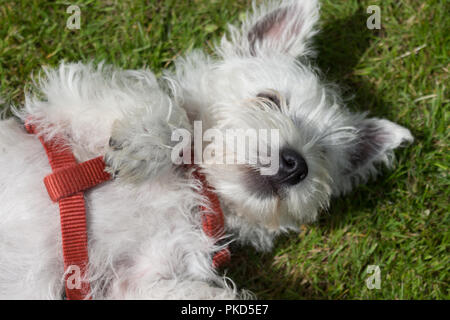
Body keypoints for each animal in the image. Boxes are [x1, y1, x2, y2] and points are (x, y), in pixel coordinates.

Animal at [0, 0, 412, 300]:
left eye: (324, 154)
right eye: (269, 99)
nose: (297, 165)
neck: (200, 187)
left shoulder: (138, 280)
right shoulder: (61, 106)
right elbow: (174, 113)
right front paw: (144, 143)